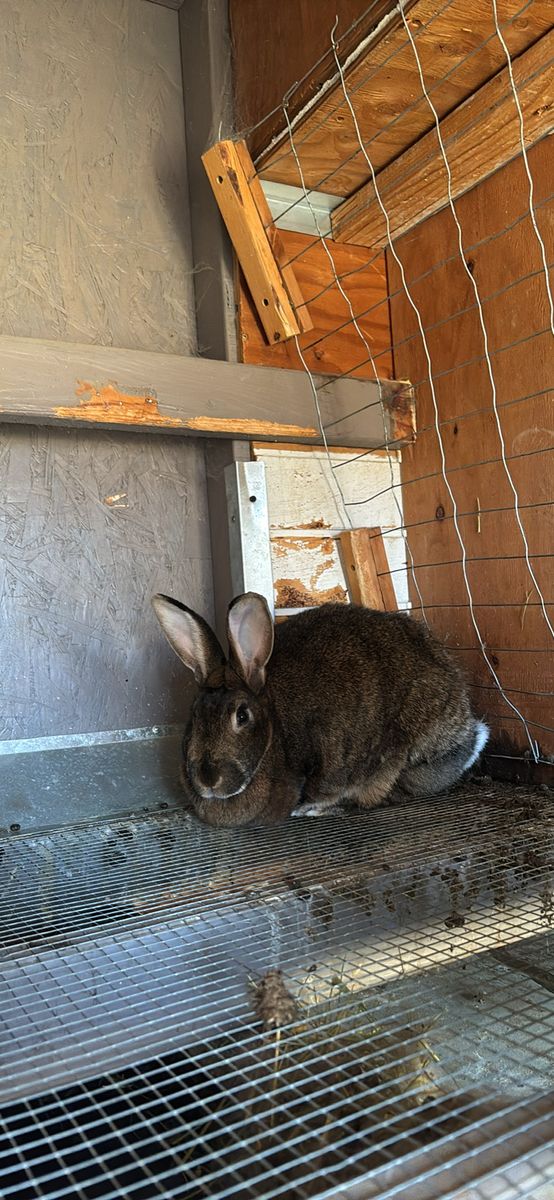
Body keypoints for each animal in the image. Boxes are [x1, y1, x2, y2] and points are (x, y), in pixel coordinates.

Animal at [151, 591, 489, 828]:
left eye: (242, 716)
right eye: (194, 714)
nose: (208, 780)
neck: (274, 732)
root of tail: (469, 734)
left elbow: (330, 788)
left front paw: (309, 807)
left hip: (403, 757)